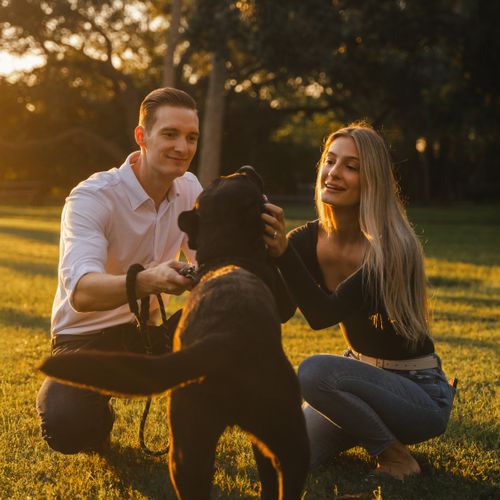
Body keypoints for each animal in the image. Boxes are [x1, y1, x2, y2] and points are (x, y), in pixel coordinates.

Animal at [40, 166, 308, 498]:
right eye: (239, 180)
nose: (246, 168)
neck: (228, 254)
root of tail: (224, 342)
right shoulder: (282, 297)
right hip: (290, 436)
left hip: (188, 445)